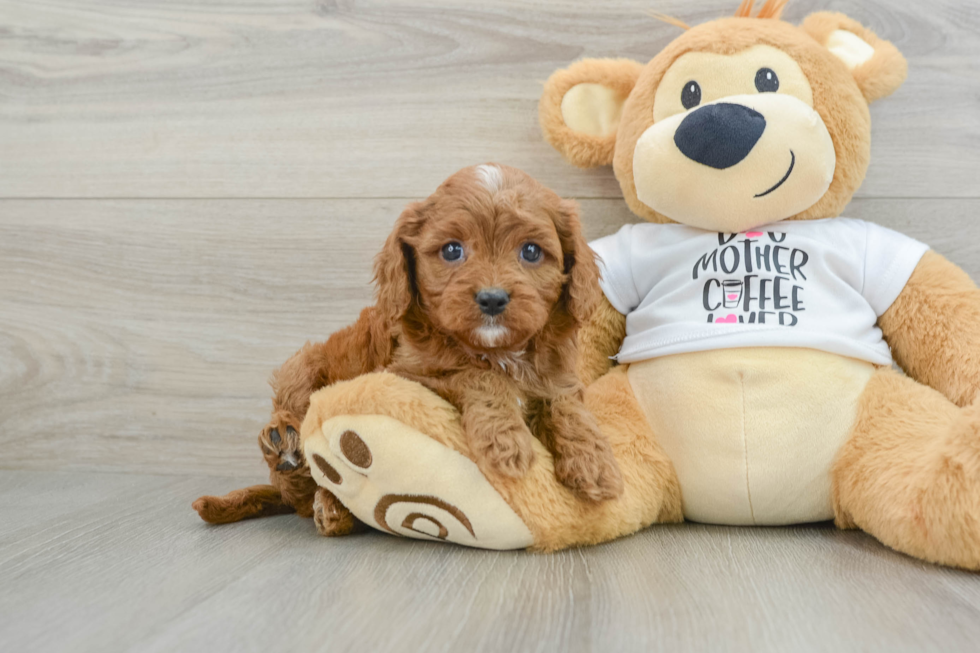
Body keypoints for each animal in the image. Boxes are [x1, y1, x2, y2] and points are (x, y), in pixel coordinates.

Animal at [193, 164, 620, 536]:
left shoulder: (558, 375)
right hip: (300, 366)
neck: (498, 349)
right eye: (452, 250)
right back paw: (290, 451)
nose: (493, 299)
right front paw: (505, 440)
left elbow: (566, 405)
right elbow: (475, 374)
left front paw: (594, 462)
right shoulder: (406, 373)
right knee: (297, 485)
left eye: (531, 252)